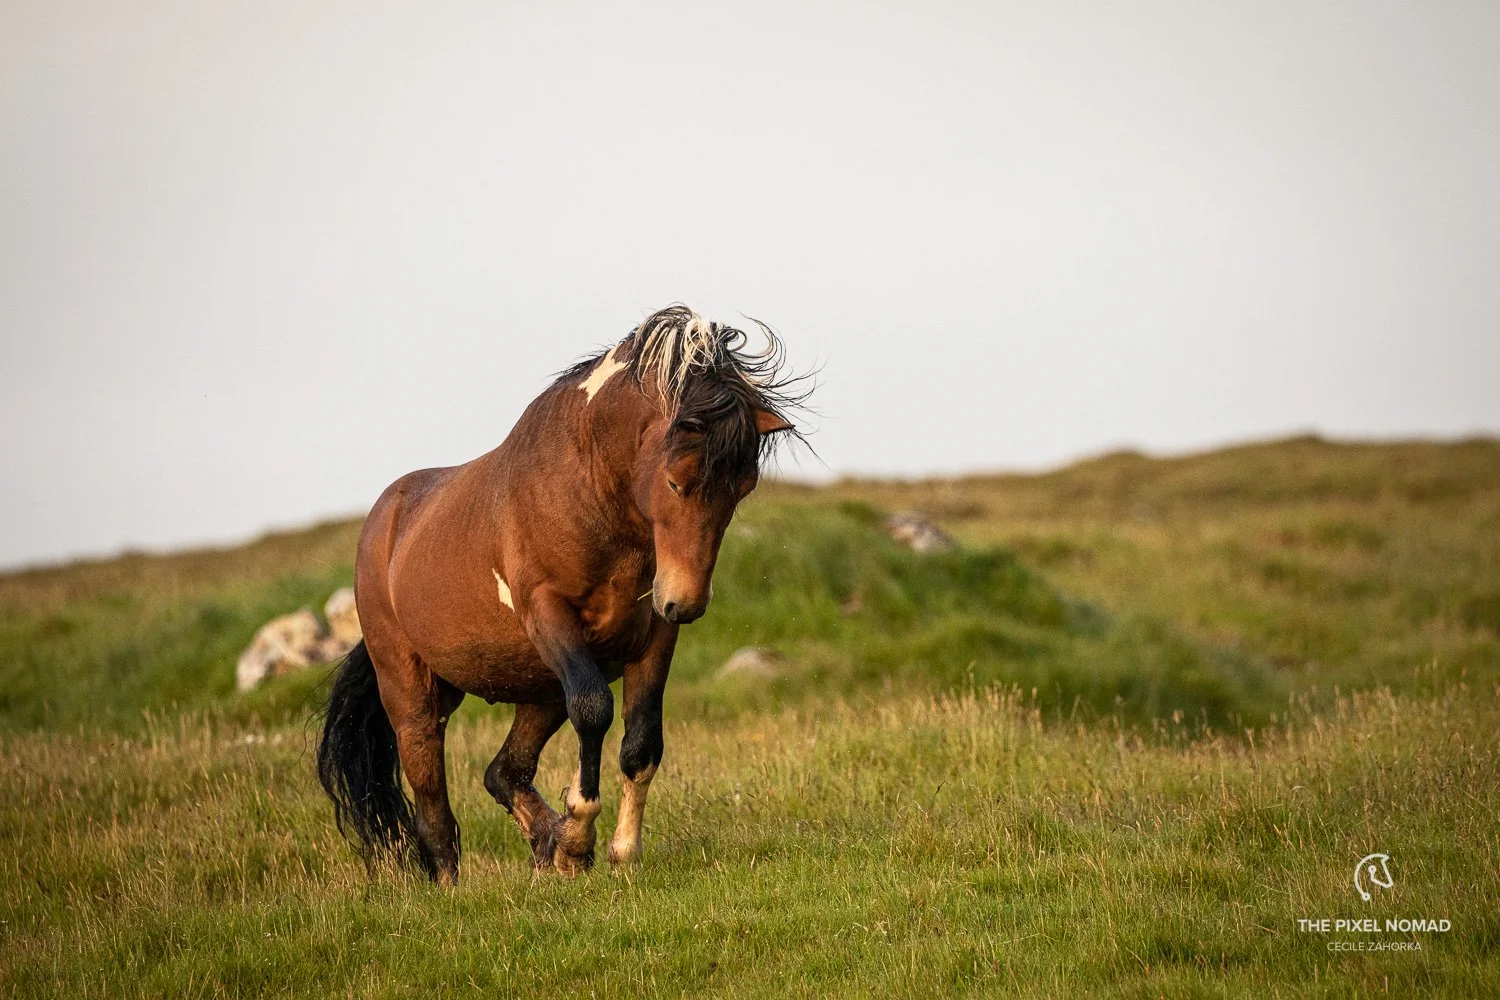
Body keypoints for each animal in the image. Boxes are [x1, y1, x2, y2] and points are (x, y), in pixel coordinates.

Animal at [316, 305, 807, 882]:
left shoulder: (654, 636)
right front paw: (577, 832)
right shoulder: (550, 615)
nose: (684, 602)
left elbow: (642, 742)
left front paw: (617, 850)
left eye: (742, 488)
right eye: (675, 481)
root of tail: (382, 527)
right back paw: (460, 881)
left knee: (502, 772)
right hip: (414, 694)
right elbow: (594, 710)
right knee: (434, 810)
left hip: (539, 689)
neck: (590, 490)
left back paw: (547, 847)